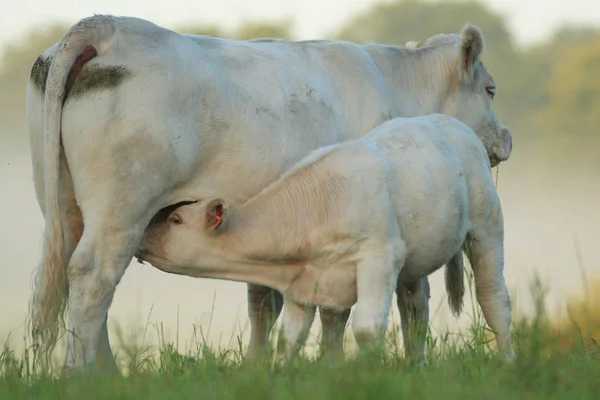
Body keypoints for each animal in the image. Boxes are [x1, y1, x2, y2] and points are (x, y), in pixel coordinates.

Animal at [135, 113, 516, 366]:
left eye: (176, 219)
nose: (140, 238)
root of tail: (452, 122)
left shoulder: (380, 257)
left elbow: (366, 329)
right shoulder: (307, 286)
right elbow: (289, 340)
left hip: (487, 227)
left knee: (493, 298)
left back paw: (506, 363)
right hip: (416, 260)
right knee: (415, 310)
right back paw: (416, 366)